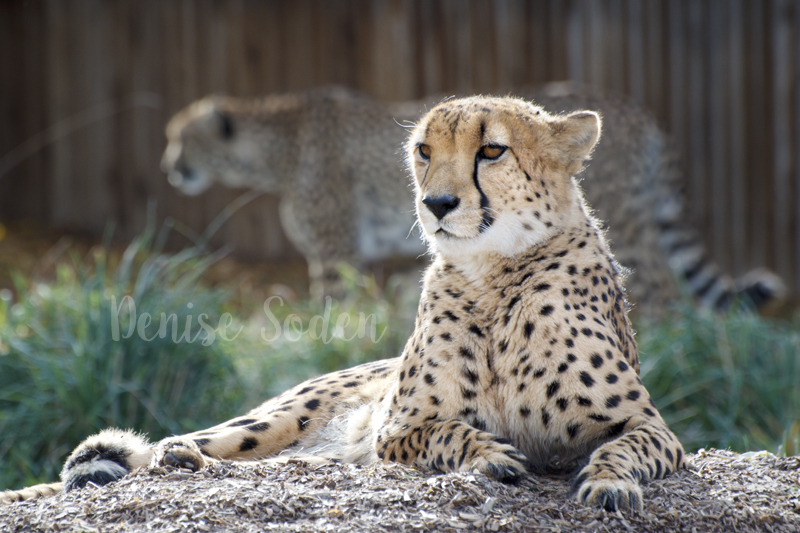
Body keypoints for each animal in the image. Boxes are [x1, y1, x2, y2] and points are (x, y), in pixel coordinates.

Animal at [3, 95, 684, 512]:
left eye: (492, 150)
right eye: (423, 151)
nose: (436, 204)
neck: (493, 274)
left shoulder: (653, 426)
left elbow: (625, 447)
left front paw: (609, 483)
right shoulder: (398, 428)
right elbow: (446, 431)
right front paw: (488, 454)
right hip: (271, 425)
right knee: (172, 449)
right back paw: (179, 456)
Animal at [159, 83, 784, 316]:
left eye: (180, 140)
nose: (169, 168)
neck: (277, 143)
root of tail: (641, 109)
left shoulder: (337, 254)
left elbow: (338, 314)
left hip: (626, 224)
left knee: (658, 289)